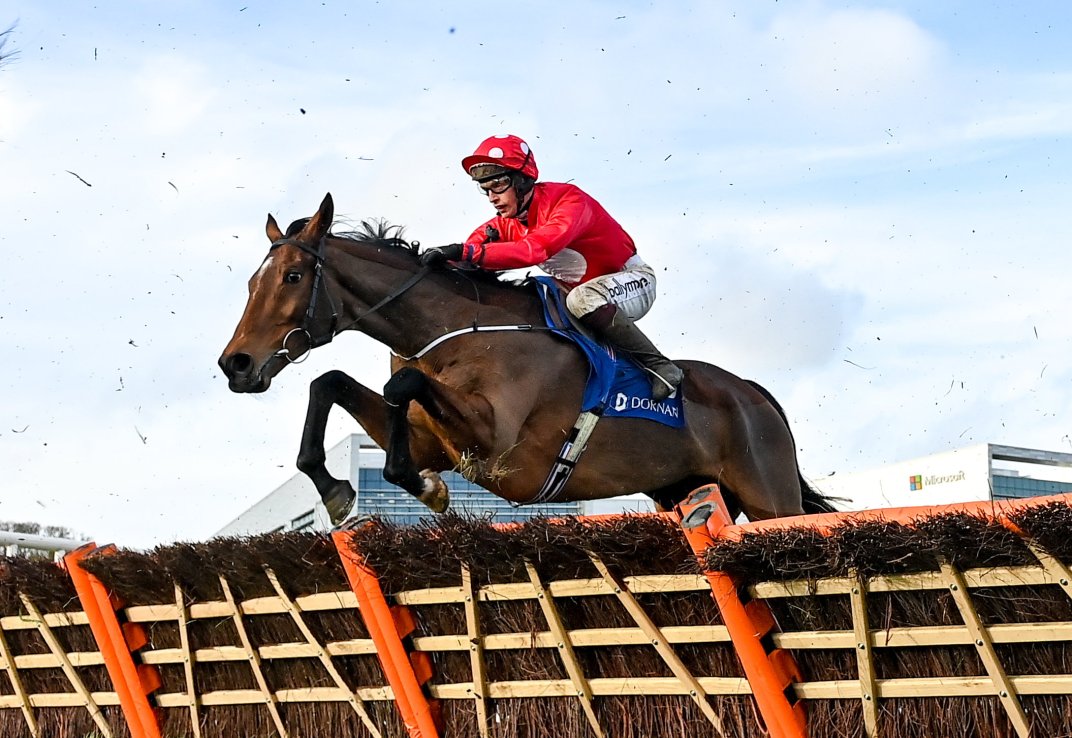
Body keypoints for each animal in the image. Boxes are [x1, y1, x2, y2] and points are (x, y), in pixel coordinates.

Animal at [219, 193, 836, 521]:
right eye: (251, 281)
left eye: (293, 276)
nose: (236, 365)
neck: (453, 329)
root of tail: (755, 394)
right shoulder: (433, 438)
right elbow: (329, 381)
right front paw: (337, 491)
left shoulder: (498, 445)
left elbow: (400, 390)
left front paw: (424, 488)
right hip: (684, 492)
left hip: (769, 494)